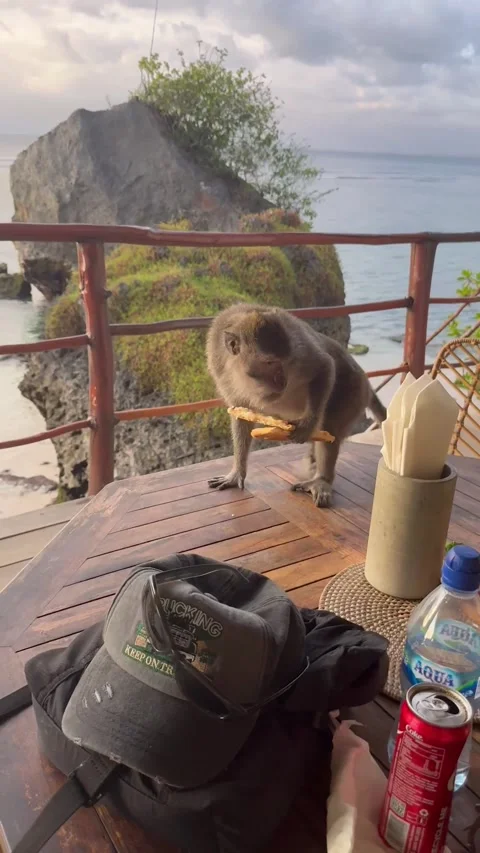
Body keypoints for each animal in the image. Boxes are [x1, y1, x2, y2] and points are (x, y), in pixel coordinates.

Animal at [206, 302, 386, 508]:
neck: (237, 371)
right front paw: (237, 472)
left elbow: (324, 366)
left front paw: (307, 426)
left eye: (283, 362)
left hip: (353, 392)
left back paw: (322, 479)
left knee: (330, 427)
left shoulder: (297, 348)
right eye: (269, 362)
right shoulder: (221, 371)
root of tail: (366, 383)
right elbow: (241, 414)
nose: (282, 381)